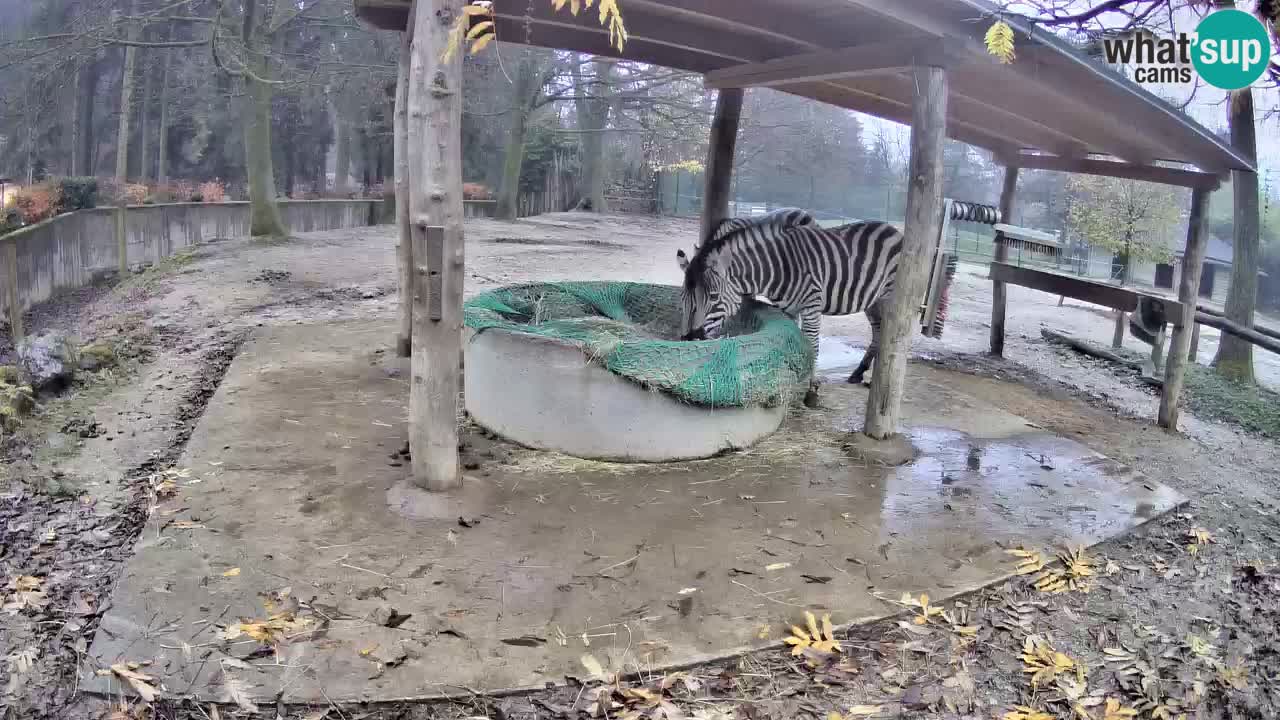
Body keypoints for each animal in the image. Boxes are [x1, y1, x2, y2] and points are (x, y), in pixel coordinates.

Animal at [675, 209, 903, 408]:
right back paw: (860, 373)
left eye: (713, 297)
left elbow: (812, 345)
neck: (779, 268)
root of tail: (892, 229)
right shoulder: (788, 309)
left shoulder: (812, 306)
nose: (690, 338)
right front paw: (794, 376)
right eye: (683, 298)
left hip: (888, 297)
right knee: (879, 332)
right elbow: (791, 341)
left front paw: (811, 390)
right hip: (873, 300)